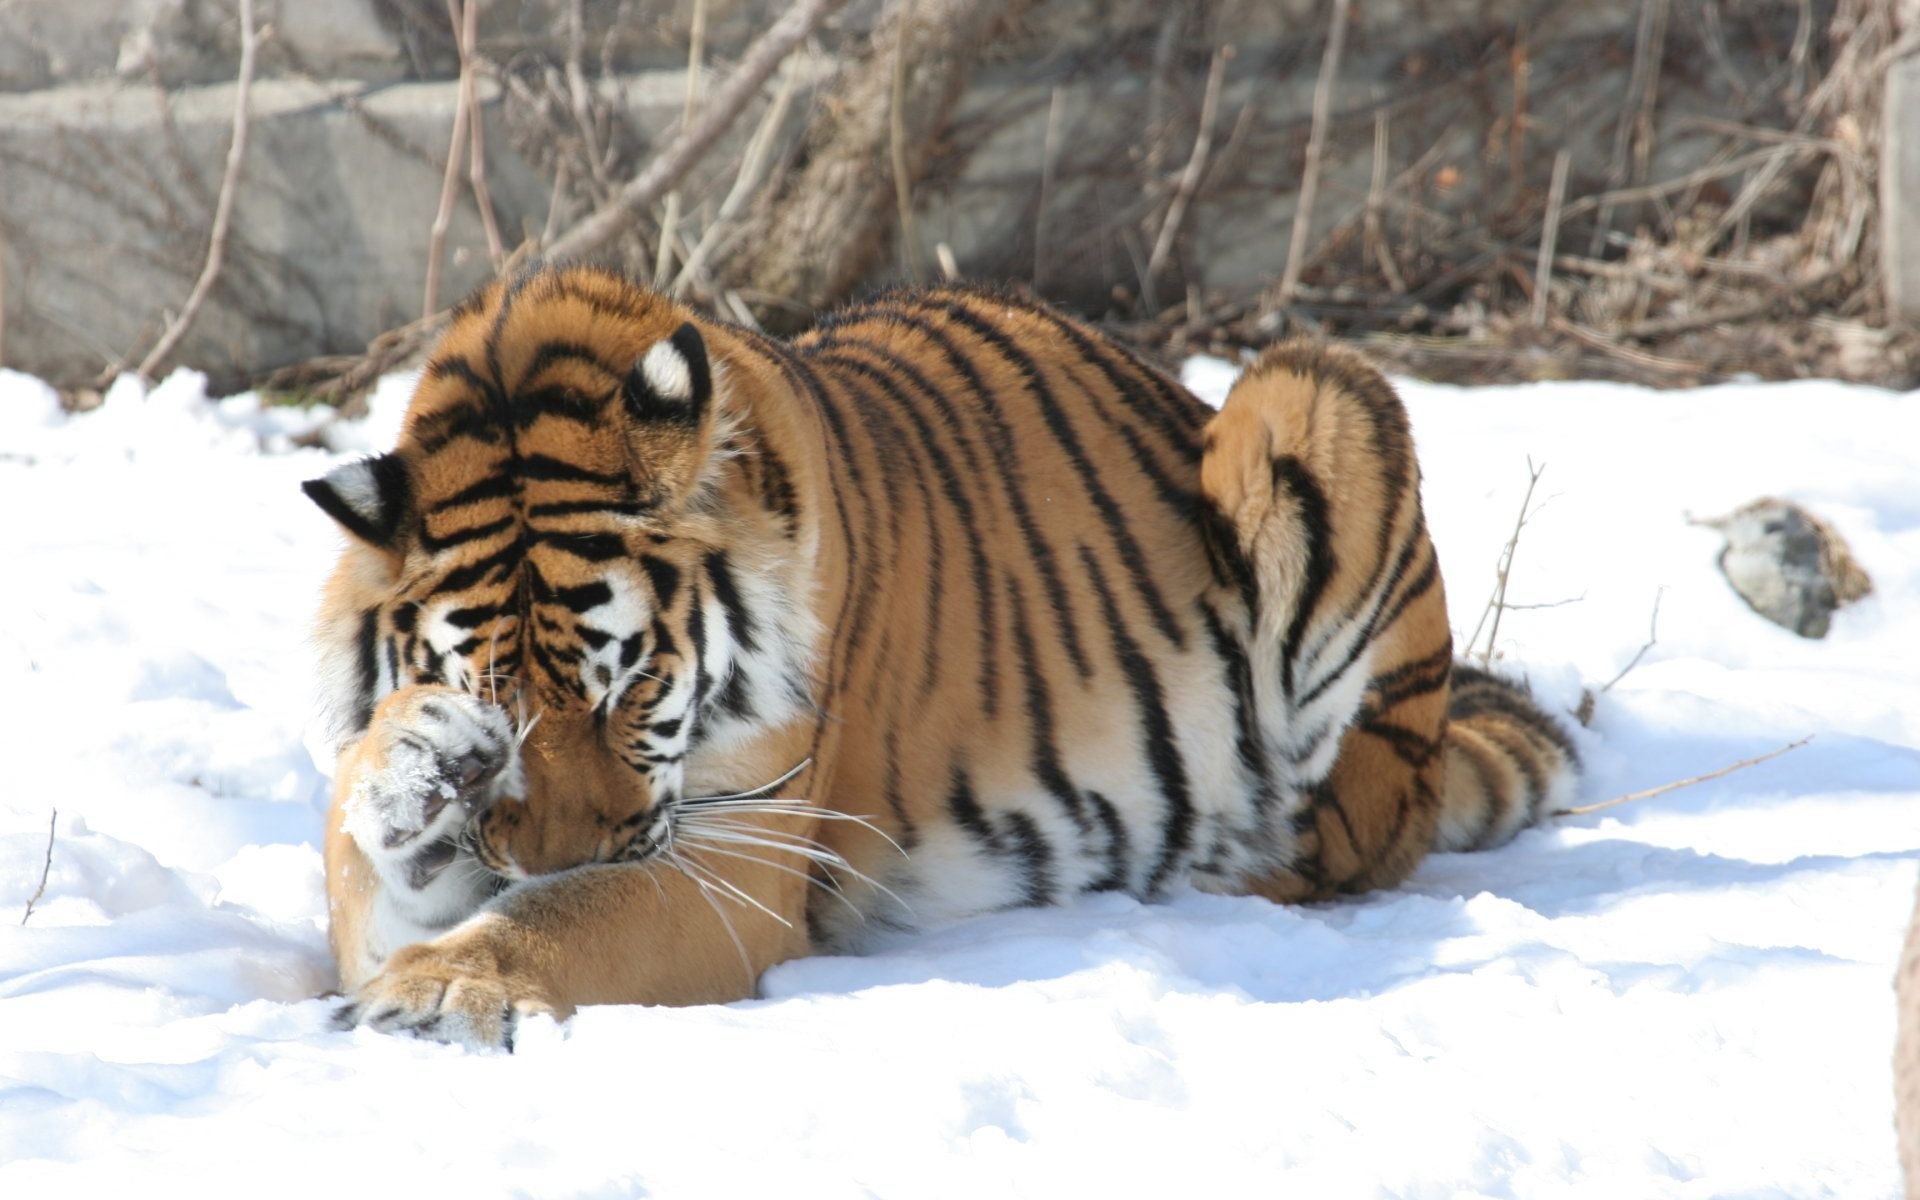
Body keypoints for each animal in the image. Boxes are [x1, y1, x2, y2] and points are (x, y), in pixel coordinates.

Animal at [307, 264, 1574, 1044]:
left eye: (633, 690)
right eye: (490, 699)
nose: (551, 856)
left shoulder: (740, 865)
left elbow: (560, 919)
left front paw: (441, 987)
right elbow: (360, 859)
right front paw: (410, 768)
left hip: (1317, 393)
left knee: (1349, 838)